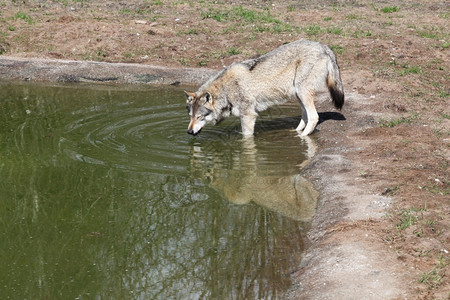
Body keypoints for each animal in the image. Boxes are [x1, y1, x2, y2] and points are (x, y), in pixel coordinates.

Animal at [183, 38, 344, 136]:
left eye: (199, 117)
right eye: (190, 116)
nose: (189, 132)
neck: (226, 91)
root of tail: (324, 46)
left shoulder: (248, 116)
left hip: (303, 93)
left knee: (314, 117)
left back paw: (302, 137)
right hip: (298, 95)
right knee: (305, 116)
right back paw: (295, 132)